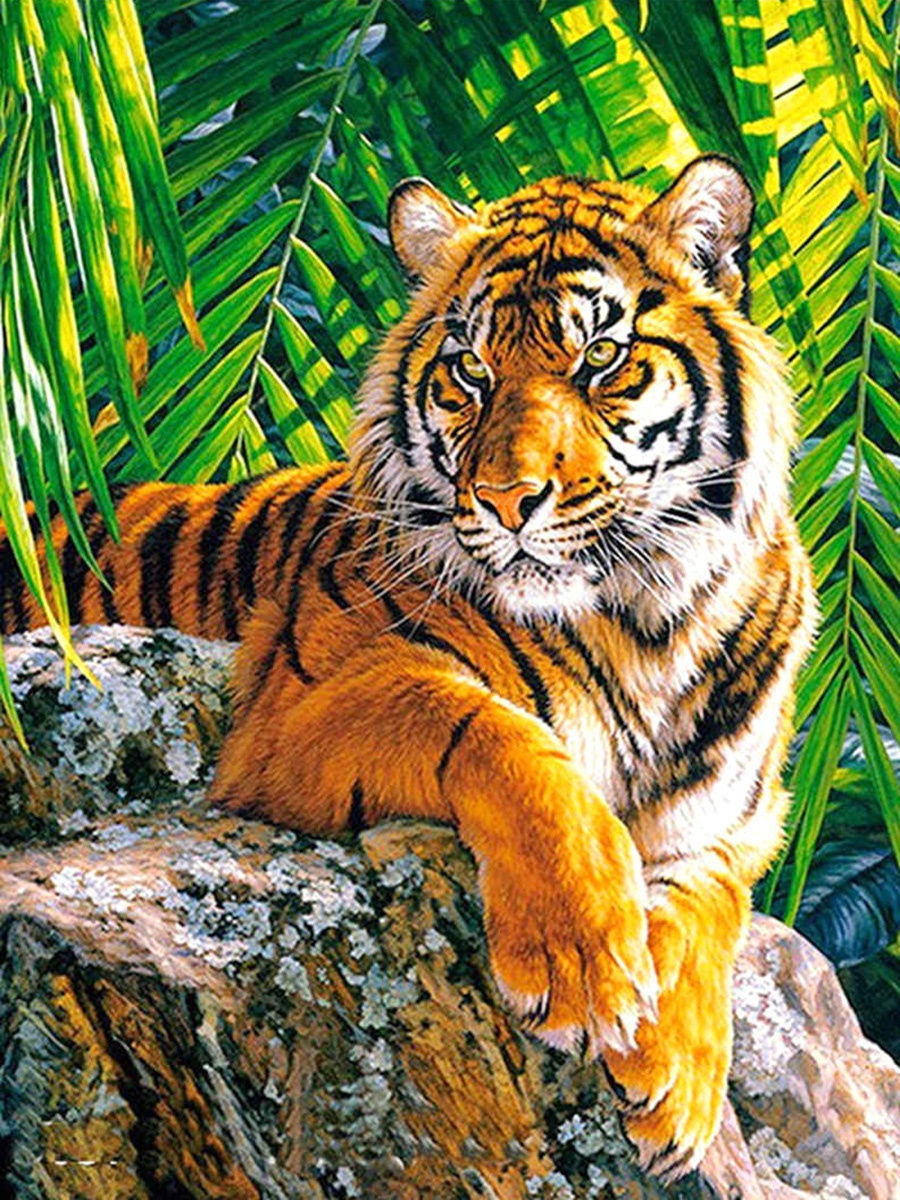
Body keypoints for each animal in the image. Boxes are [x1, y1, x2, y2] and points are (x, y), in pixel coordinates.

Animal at [0, 156, 816, 1182]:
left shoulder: (741, 818)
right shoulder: (295, 707)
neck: (648, 617)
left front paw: (681, 1079)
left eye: (600, 358)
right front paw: (582, 959)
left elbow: (714, 899)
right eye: (471, 370)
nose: (507, 500)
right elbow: (503, 738)